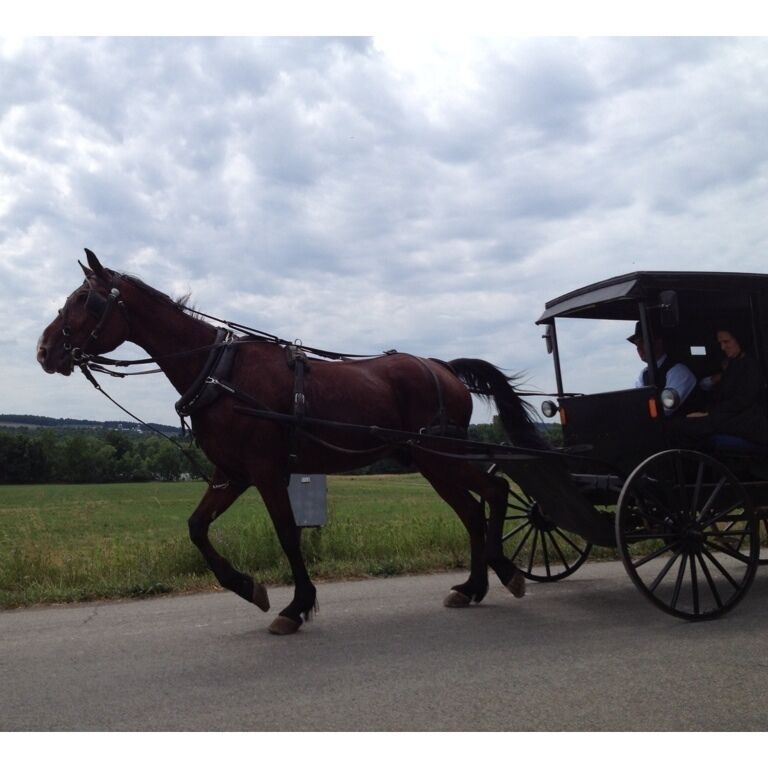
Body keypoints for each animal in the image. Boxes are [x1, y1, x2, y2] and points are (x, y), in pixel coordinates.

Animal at [37, 249, 547, 634]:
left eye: (85, 299)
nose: (44, 350)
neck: (220, 372)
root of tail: (442, 367)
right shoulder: (232, 473)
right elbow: (197, 528)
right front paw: (248, 587)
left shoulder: (265, 471)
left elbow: (286, 534)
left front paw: (295, 606)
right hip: (431, 461)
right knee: (471, 511)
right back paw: (473, 586)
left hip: (439, 454)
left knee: (494, 491)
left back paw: (504, 571)